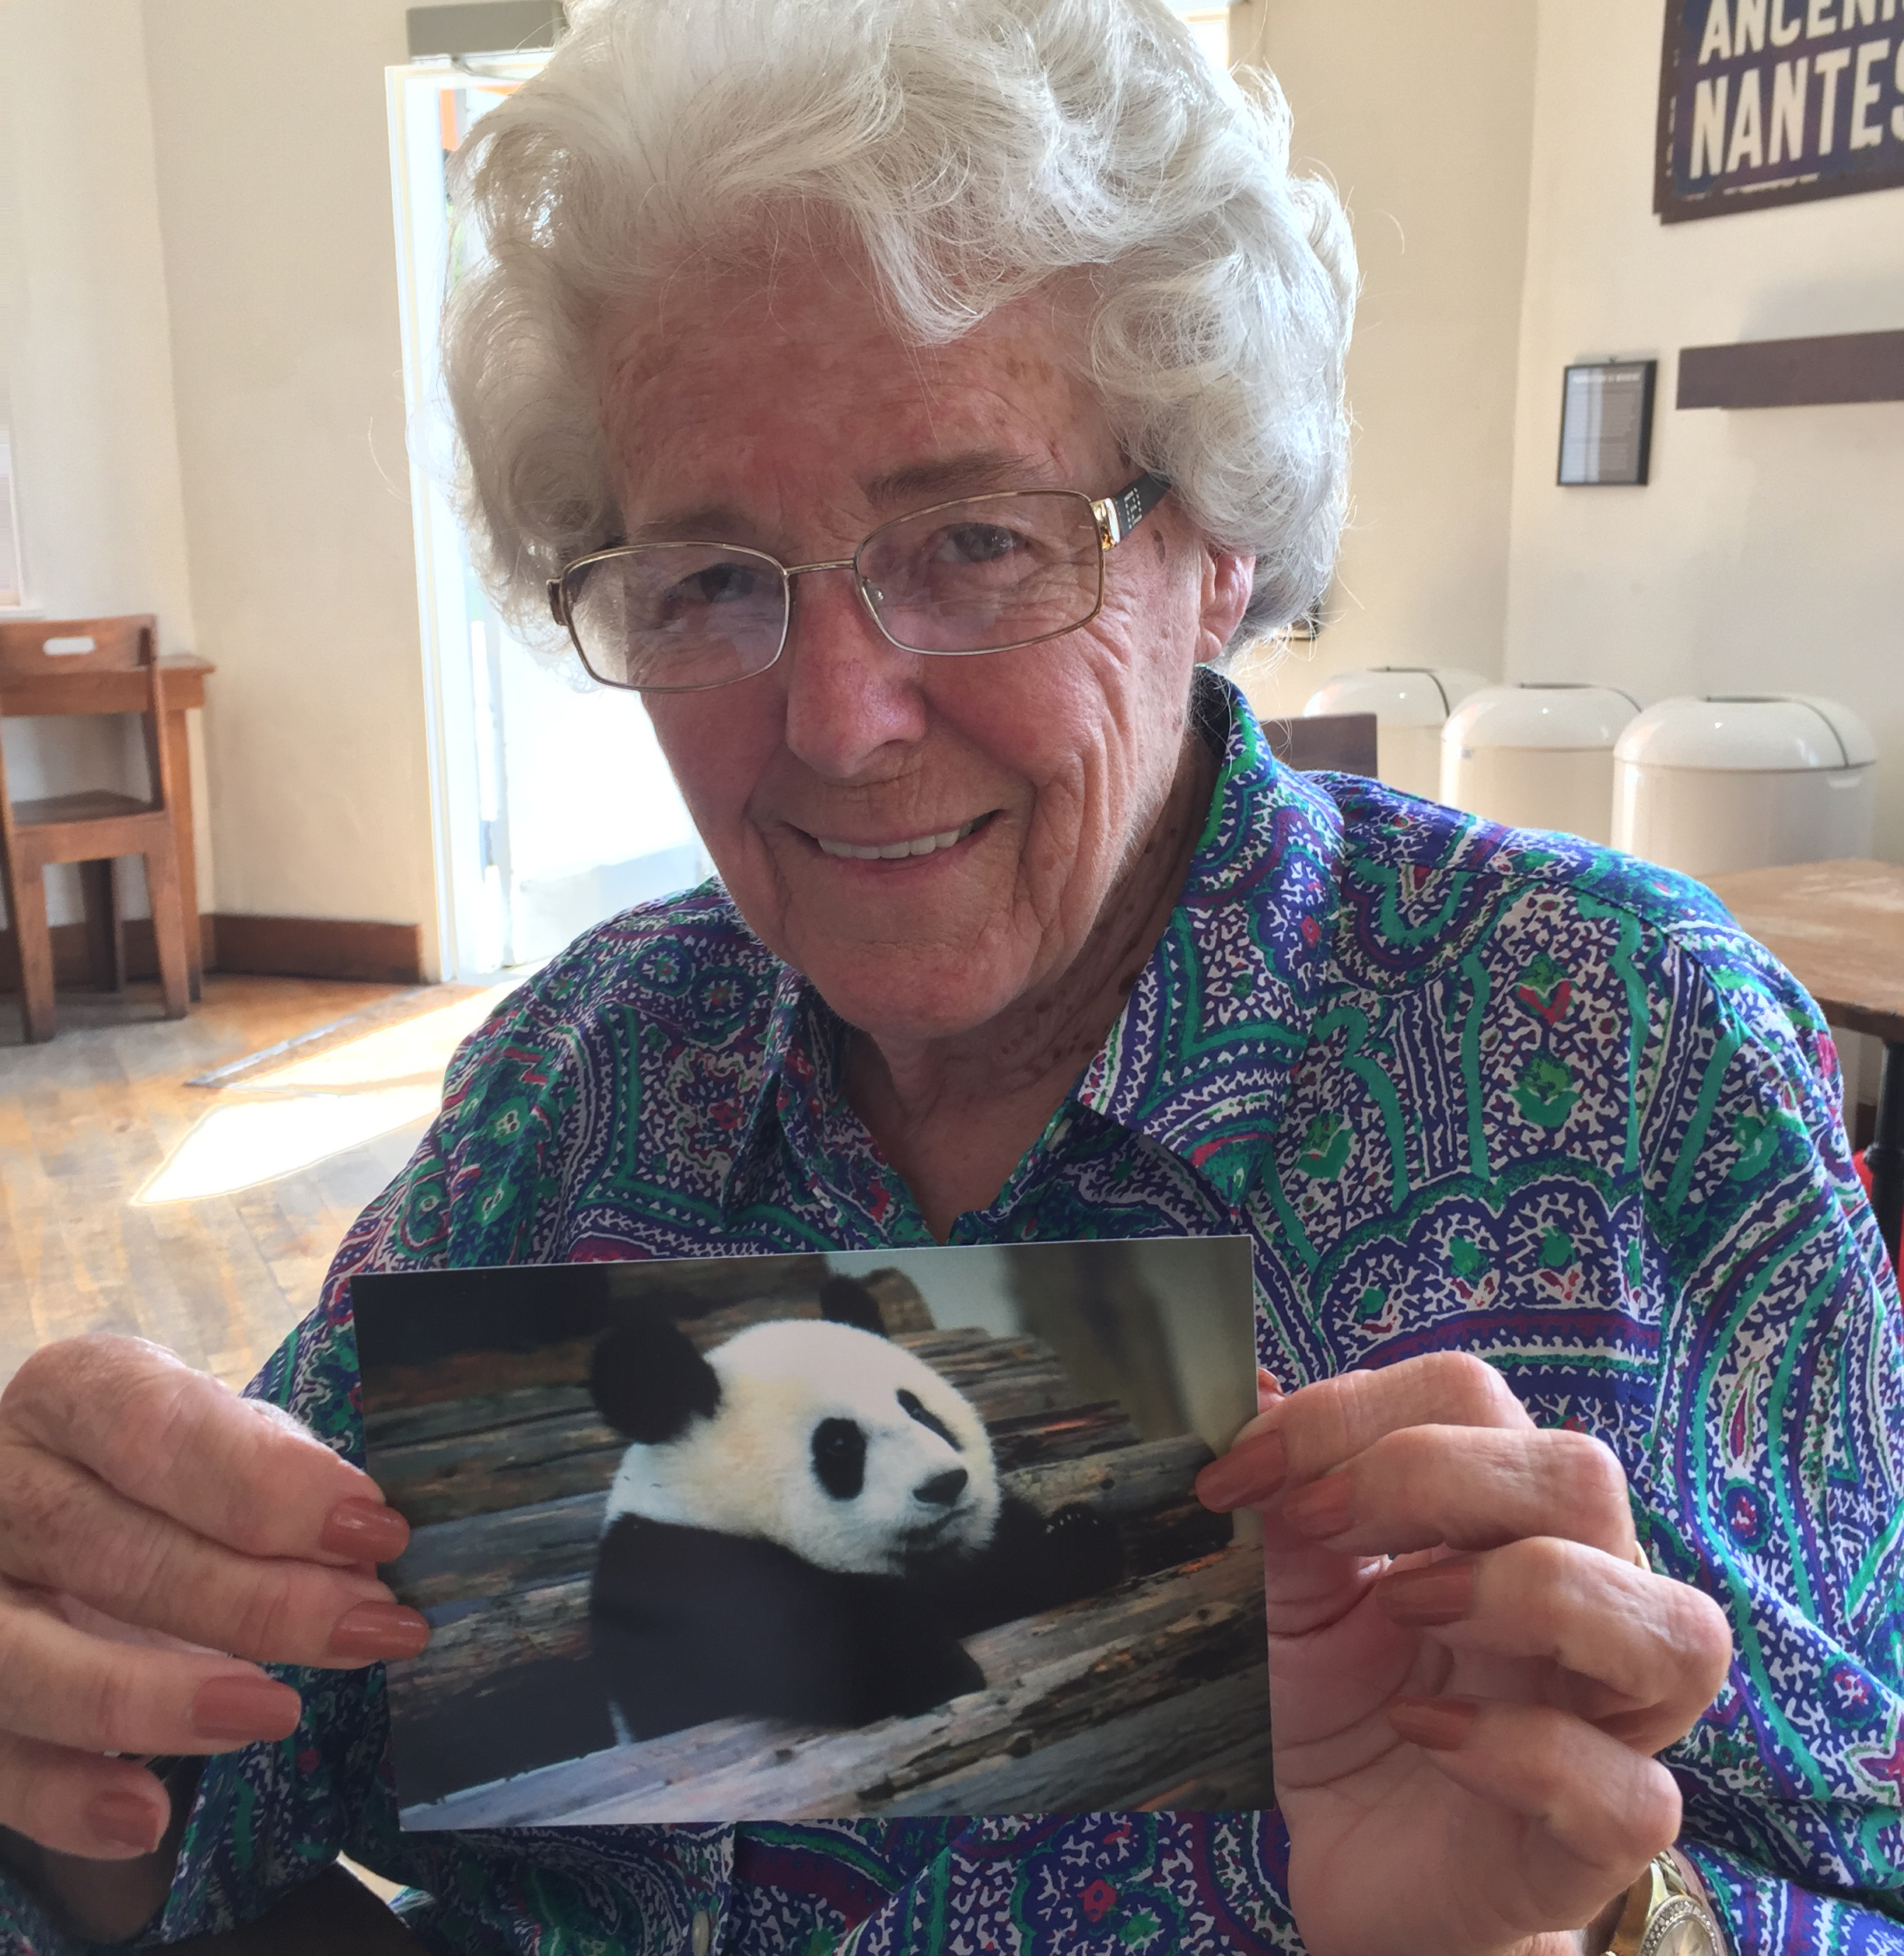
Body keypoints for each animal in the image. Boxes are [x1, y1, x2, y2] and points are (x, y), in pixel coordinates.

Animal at [585, 1278, 1123, 1740]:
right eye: (841, 1444)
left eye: (919, 1411)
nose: (944, 1484)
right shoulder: (679, 1574)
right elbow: (797, 1646)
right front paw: (934, 1670)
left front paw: (1072, 1536)